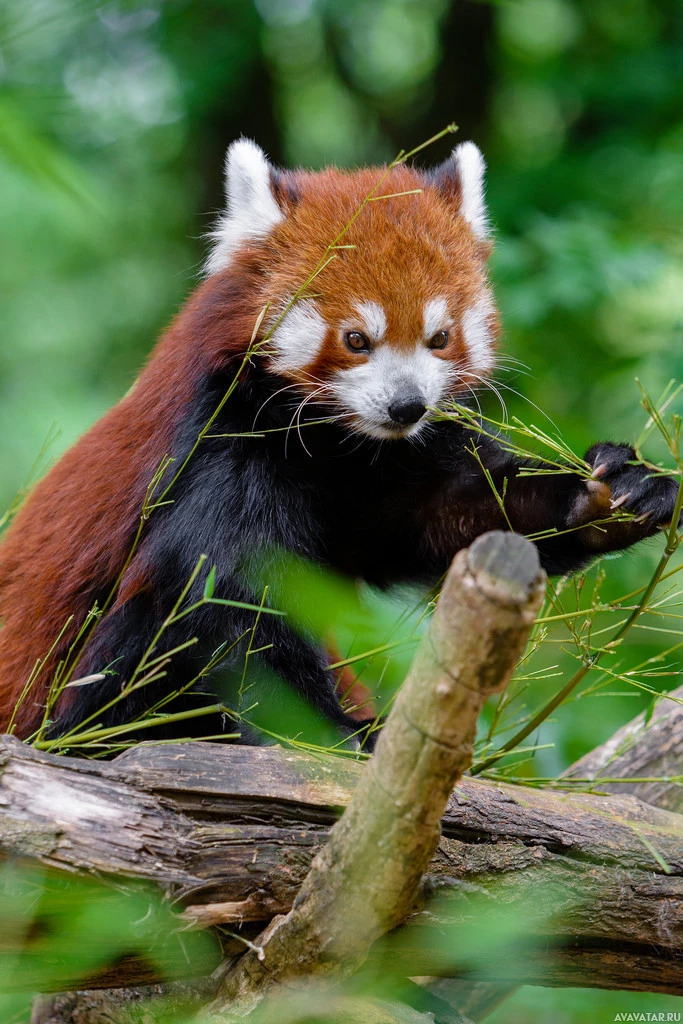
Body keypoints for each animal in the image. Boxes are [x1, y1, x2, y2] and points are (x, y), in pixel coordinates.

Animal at [0, 138, 679, 745]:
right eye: (356, 339)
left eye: (438, 338)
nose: (406, 404)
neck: (334, 444)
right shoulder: (220, 443)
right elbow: (227, 604)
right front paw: (338, 733)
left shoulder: (384, 470)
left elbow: (444, 512)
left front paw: (605, 496)